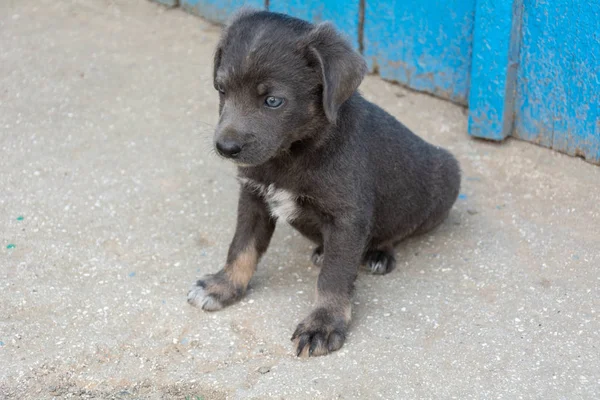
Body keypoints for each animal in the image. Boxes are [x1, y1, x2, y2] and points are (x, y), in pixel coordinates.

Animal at [188, 9, 460, 358]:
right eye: (222, 90)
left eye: (273, 101)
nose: (226, 148)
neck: (296, 150)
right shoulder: (253, 197)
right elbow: (241, 247)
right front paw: (224, 285)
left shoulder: (346, 218)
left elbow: (333, 276)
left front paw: (323, 323)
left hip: (445, 182)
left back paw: (377, 253)